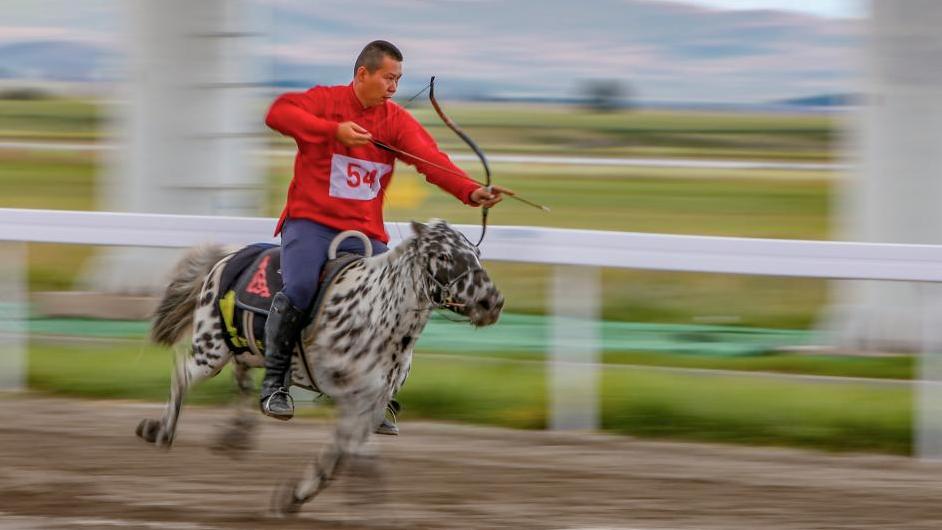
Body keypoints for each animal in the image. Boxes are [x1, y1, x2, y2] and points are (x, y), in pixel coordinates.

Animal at [136, 218, 506, 512]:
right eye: (443, 256)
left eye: (477, 253)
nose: (492, 302)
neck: (375, 315)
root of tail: (228, 257)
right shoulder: (349, 397)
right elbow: (356, 455)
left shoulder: (371, 404)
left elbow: (341, 454)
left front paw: (295, 497)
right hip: (210, 350)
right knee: (182, 374)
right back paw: (160, 431)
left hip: (245, 348)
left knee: (242, 380)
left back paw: (236, 435)